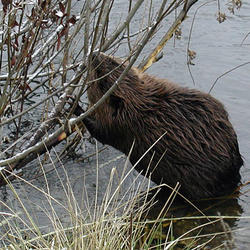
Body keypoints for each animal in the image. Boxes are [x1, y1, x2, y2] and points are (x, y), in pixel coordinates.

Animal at [81, 52, 242, 201]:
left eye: (101, 78)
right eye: (115, 62)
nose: (94, 54)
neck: (141, 103)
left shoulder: (121, 126)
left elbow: (101, 133)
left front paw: (77, 108)